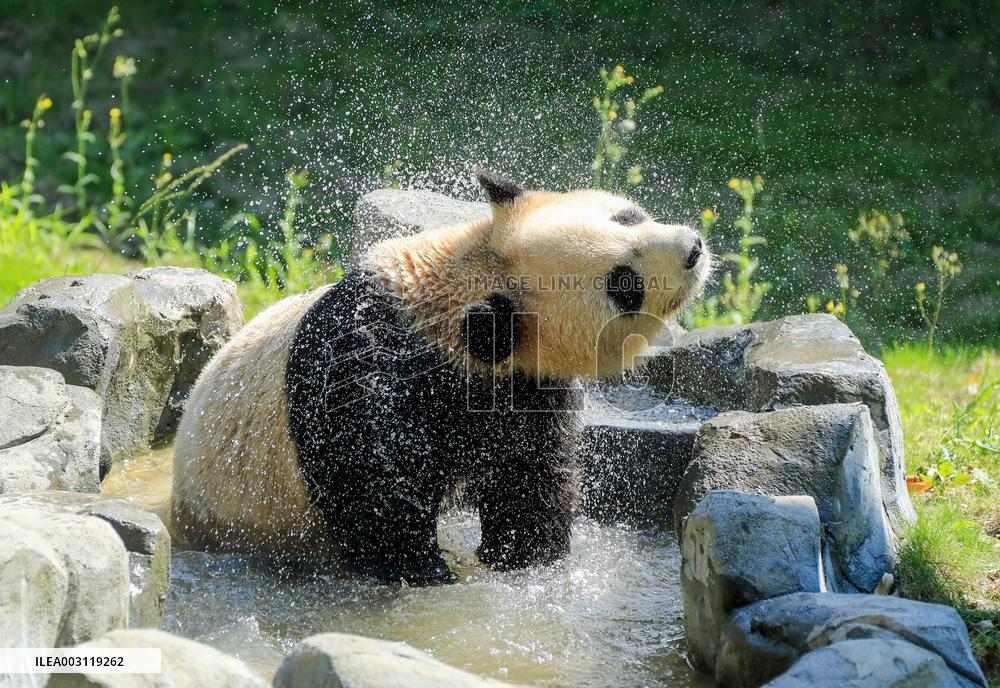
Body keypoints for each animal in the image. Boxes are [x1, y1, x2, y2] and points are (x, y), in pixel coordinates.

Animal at [172, 170, 711, 583]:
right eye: (624, 285)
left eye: (627, 217)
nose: (694, 249)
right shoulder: (365, 372)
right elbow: (374, 495)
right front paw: (429, 574)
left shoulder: (522, 387)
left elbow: (529, 478)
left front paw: (529, 560)